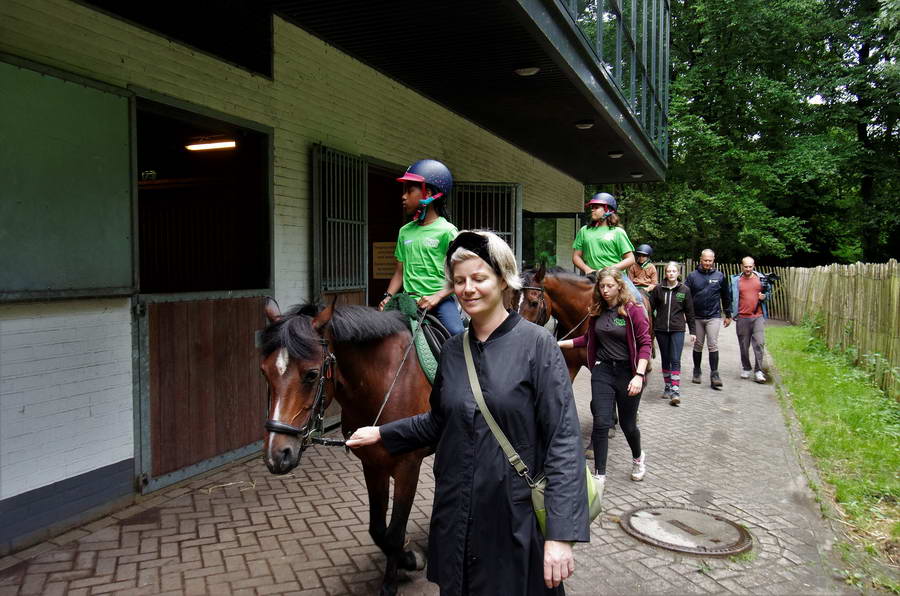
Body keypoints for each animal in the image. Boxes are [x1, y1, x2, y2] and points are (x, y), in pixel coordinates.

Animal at [258, 300, 430, 592]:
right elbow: (378, 530)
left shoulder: (408, 466)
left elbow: (394, 533)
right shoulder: (373, 463)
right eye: (264, 372)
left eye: (312, 374)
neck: (388, 380)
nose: (277, 455)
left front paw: (396, 576)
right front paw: (408, 560)